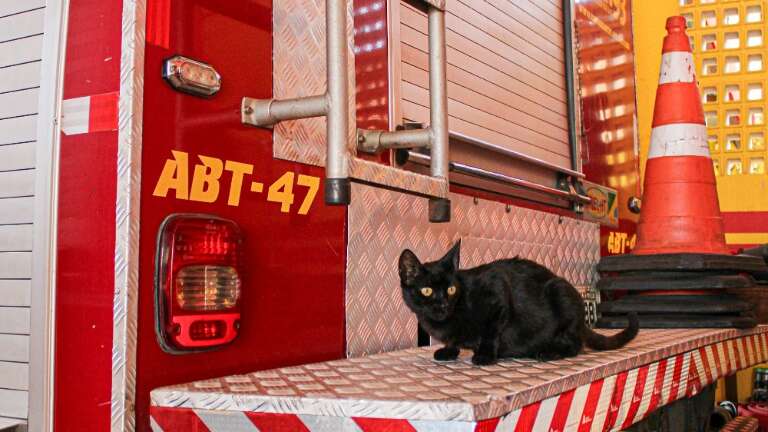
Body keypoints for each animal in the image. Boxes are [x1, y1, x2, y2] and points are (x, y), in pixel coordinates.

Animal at [400, 240, 640, 364]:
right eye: (427, 290)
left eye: (451, 289)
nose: (442, 305)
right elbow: (453, 340)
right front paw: (449, 350)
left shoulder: (497, 294)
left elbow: (490, 332)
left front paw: (485, 355)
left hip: (560, 292)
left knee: (575, 344)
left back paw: (549, 351)